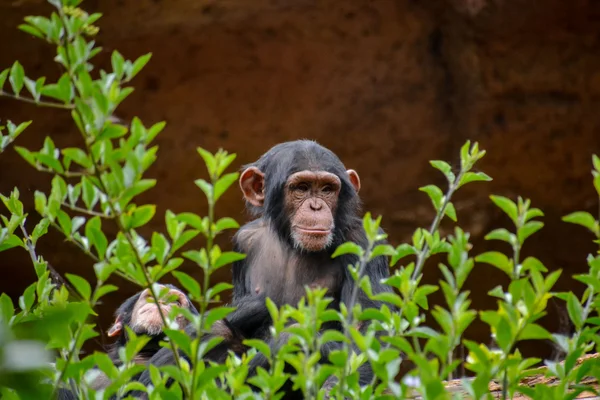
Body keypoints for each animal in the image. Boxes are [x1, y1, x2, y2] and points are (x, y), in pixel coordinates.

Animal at [136, 141, 394, 396]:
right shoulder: (243, 241)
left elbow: (366, 327)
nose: (316, 206)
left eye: (327, 189)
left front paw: (334, 388)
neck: (290, 241)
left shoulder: (363, 241)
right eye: (301, 188)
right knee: (214, 330)